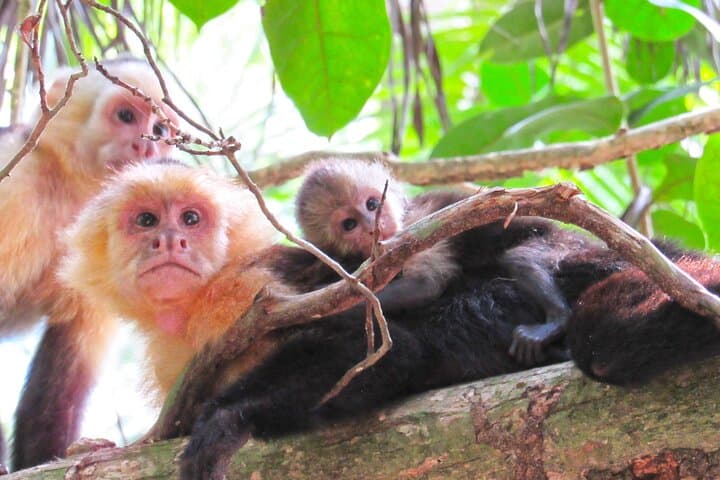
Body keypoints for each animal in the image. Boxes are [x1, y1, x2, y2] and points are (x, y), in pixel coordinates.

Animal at [1, 58, 178, 469]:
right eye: (126, 115)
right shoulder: (15, 182)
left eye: (160, 129)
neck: (71, 188)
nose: (146, 145)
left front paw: (47, 457)